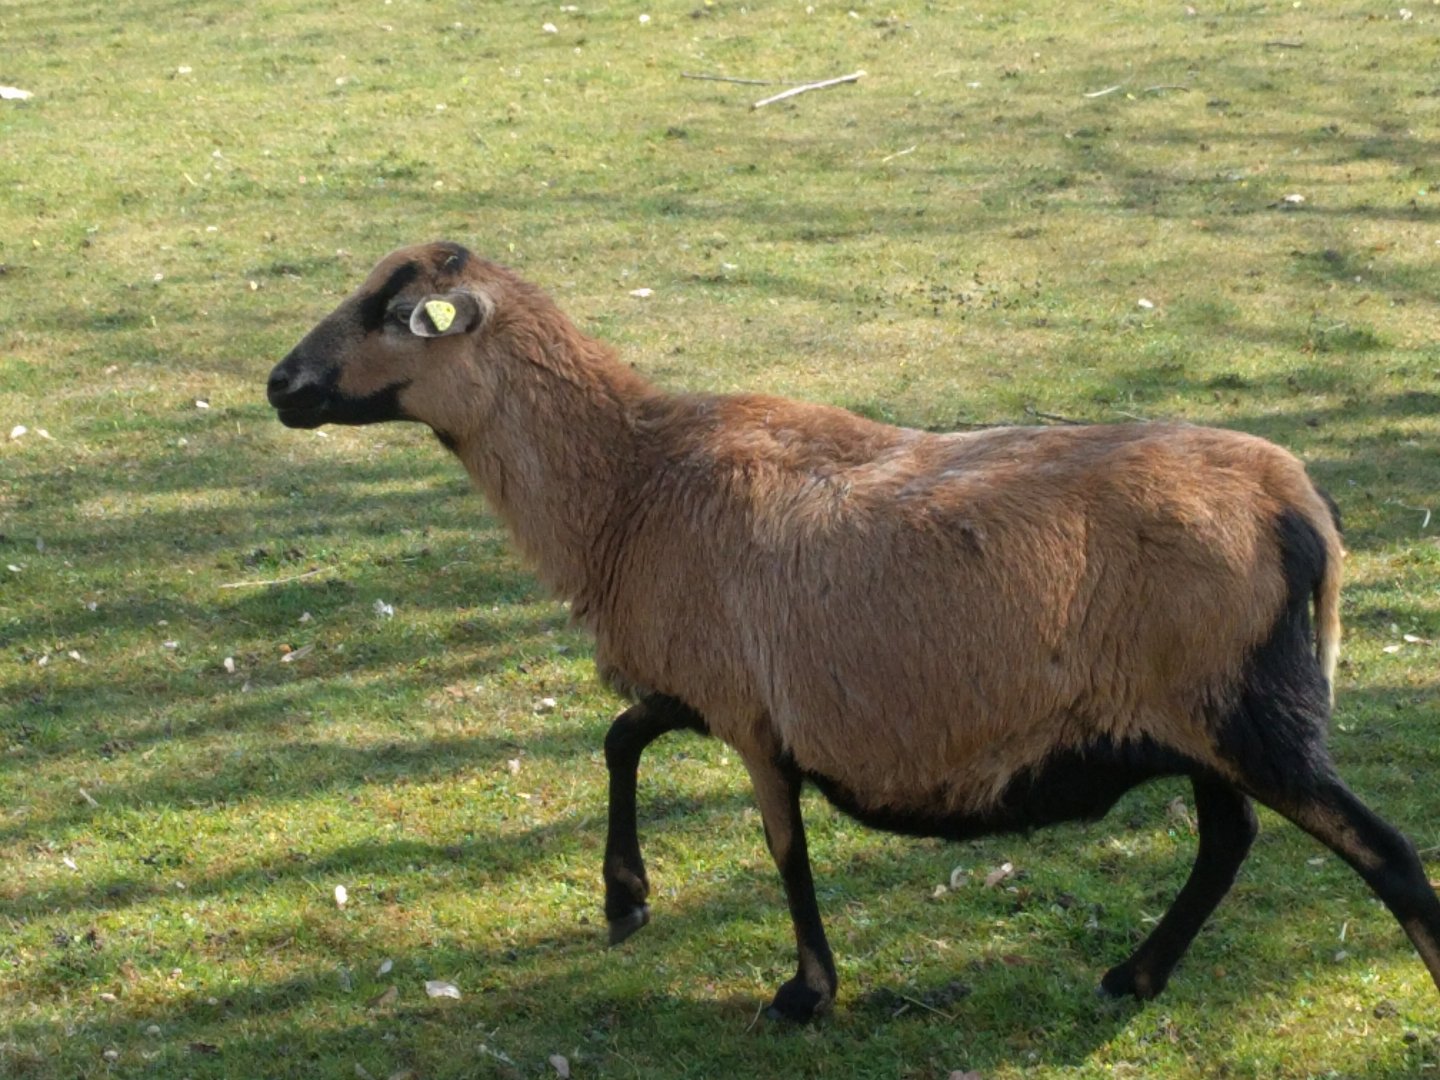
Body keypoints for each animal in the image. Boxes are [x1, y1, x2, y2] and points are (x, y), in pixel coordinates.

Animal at [267, 241, 1440, 1023]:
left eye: (390, 310)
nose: (280, 384)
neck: (628, 484)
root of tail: (1298, 503)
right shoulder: (710, 685)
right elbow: (622, 739)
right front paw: (625, 900)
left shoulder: (750, 717)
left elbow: (782, 848)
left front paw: (806, 990)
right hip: (1201, 719)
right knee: (1228, 841)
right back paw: (1135, 976)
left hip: (1250, 713)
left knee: (1384, 853)